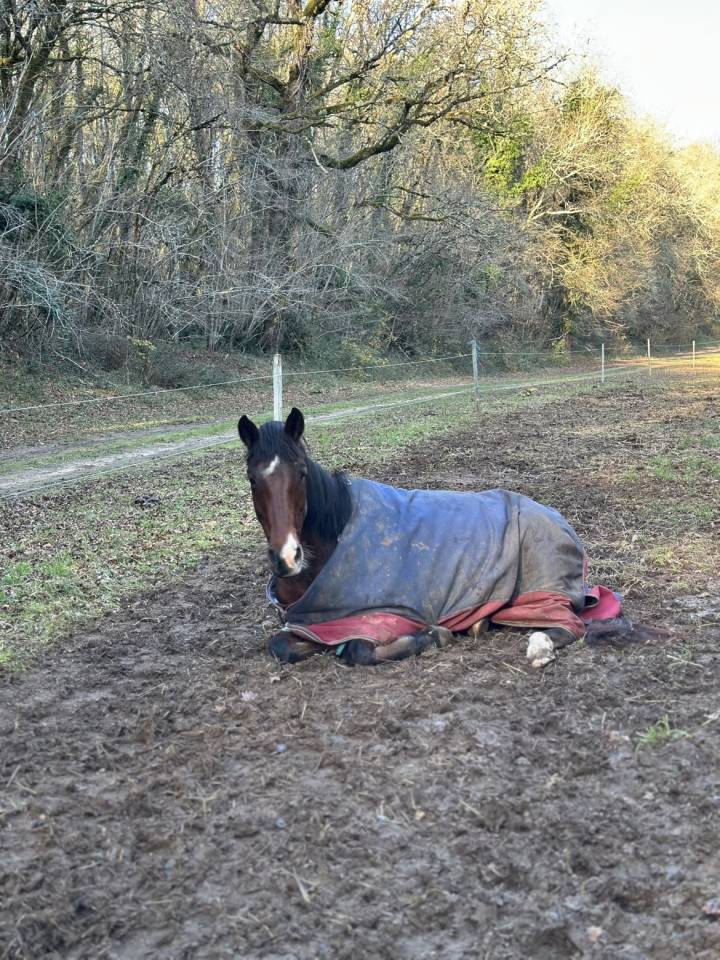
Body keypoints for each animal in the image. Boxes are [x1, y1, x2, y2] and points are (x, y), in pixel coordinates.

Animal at [238, 407, 663, 667]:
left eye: (301, 474)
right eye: (253, 479)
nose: (286, 557)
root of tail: (562, 522)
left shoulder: (386, 618)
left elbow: (357, 650)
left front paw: (432, 637)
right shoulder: (316, 626)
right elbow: (280, 645)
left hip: (541, 596)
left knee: (569, 627)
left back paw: (537, 647)